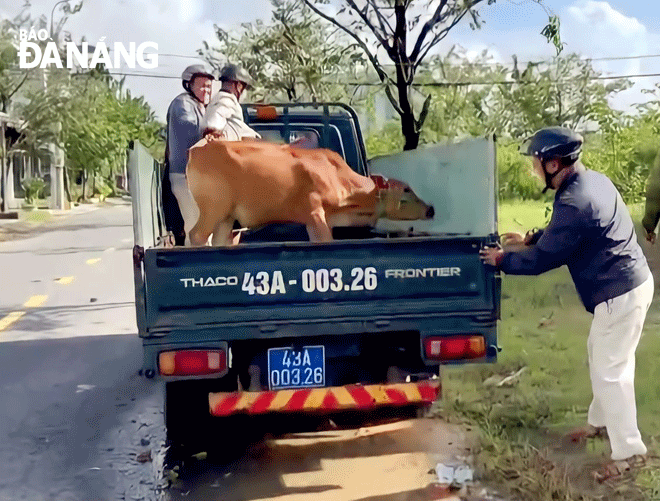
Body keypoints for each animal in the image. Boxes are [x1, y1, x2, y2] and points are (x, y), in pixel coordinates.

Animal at [187, 137, 434, 246]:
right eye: (406, 189)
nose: (430, 208)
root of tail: (198, 149)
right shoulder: (316, 213)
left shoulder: (312, 220)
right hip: (213, 209)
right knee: (196, 235)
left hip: (226, 217)